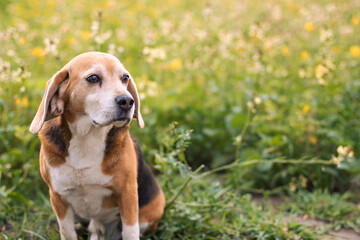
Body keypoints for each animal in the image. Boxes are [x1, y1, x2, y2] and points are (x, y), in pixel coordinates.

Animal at [30, 51, 165, 239]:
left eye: (125, 78)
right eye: (93, 78)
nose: (127, 101)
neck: (87, 139)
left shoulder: (128, 193)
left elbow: (130, 231)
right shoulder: (58, 197)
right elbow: (68, 233)